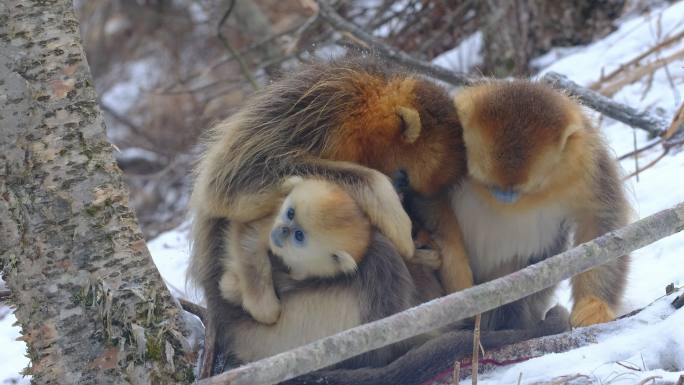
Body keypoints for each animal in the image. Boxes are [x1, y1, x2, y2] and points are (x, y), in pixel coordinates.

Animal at [219, 177, 372, 324]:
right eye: (290, 213)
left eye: (299, 235)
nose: (283, 229)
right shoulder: (270, 222)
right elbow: (249, 241)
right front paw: (264, 309)